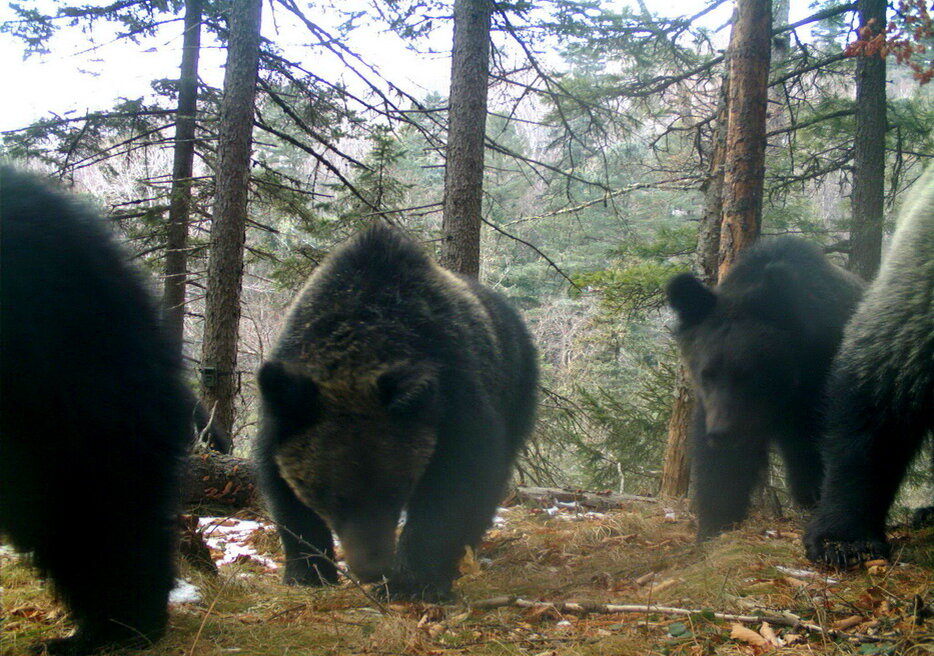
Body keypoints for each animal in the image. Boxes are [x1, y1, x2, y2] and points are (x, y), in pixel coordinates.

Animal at [256, 224, 540, 600]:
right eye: (332, 495)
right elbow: (283, 493)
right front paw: (308, 571)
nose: (371, 568)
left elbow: (455, 485)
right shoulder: (286, 410)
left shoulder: (454, 400)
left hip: (516, 386)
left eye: (395, 489)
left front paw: (414, 579)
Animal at [668, 238, 868, 540]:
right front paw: (715, 526)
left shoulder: (816, 388)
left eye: (747, 374)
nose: (722, 432)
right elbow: (721, 470)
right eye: (707, 374)